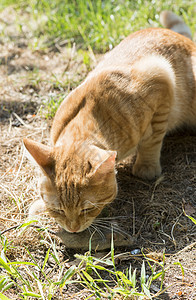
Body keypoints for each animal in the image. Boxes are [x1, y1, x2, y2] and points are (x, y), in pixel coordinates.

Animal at [23, 11, 195, 232]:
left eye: (87, 209)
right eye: (58, 210)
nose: (73, 229)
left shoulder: (161, 78)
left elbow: (153, 139)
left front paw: (146, 166)